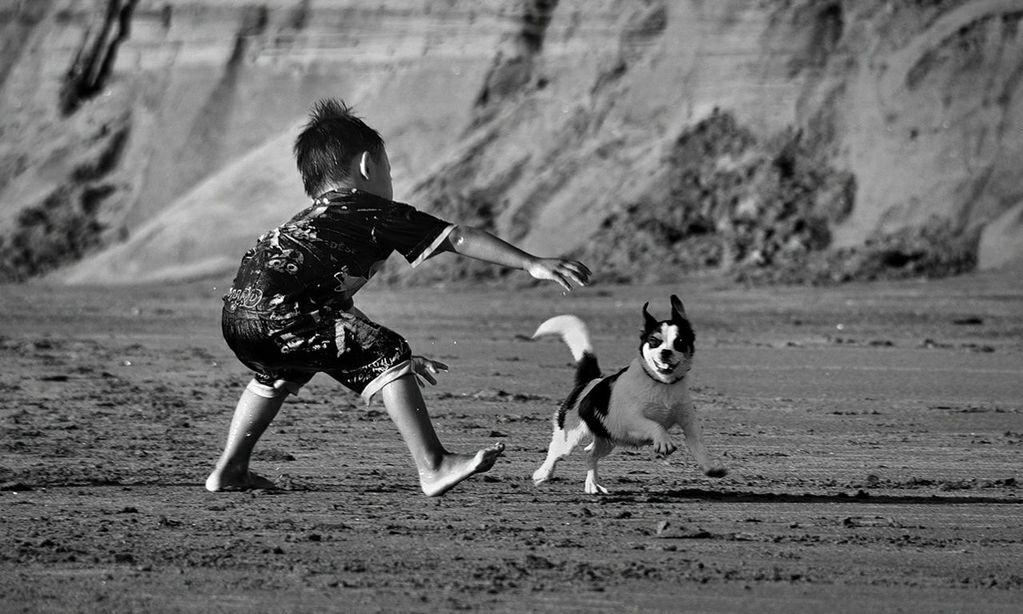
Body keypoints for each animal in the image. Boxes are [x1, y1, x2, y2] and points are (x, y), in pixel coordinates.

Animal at [527, 294, 728, 493]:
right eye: (654, 341)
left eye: (679, 342)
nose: (665, 352)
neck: (661, 383)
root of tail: (590, 381)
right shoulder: (631, 420)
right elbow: (655, 425)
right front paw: (664, 442)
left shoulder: (688, 421)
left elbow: (698, 445)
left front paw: (710, 467)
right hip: (570, 436)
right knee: (555, 453)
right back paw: (542, 474)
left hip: (607, 440)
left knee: (590, 455)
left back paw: (592, 484)